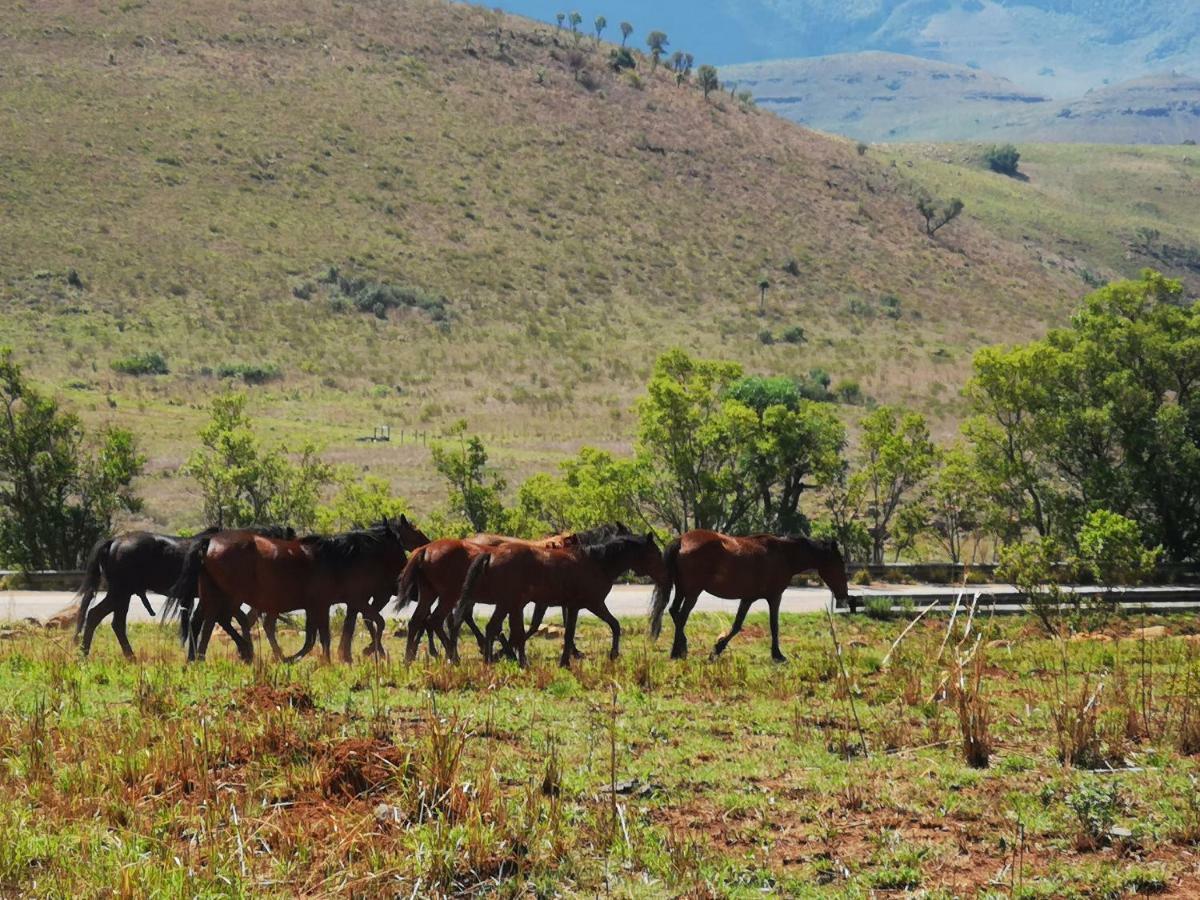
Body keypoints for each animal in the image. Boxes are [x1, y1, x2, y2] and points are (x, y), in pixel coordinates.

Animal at [73, 525, 294, 657]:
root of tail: (113, 542)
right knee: (100, 617)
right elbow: (214, 622)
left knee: (107, 620)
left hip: (122, 594)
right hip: (120, 592)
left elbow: (223, 621)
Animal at [164, 520, 410, 662]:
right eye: (399, 545)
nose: (403, 570)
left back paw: (201, 656)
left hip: (213, 594)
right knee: (218, 620)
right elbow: (325, 636)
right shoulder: (331, 603)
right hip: (229, 596)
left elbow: (313, 638)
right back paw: (236, 652)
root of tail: (210, 542)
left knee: (205, 621)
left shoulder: (322, 605)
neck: (335, 559)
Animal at [398, 520, 633, 662]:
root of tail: (425, 550)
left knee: (426, 620)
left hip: (437, 595)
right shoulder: (542, 601)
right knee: (442, 620)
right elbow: (538, 625)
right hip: (450, 596)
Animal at [453, 528, 672, 672]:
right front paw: (612, 654)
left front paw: (566, 661)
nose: (665, 576)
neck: (596, 563)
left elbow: (570, 633)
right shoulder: (593, 604)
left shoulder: (573, 606)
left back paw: (493, 660)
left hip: (507, 604)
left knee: (493, 628)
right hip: (508, 603)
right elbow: (613, 625)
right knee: (495, 628)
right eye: (655, 553)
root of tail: (491, 554)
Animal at [648, 528, 854, 662]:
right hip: (692, 593)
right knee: (681, 617)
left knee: (674, 613)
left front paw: (717, 649)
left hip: (682, 590)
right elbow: (774, 626)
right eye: (839, 564)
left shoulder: (747, 598)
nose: (844, 594)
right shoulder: (774, 597)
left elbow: (737, 625)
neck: (783, 554)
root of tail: (682, 540)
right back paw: (677, 652)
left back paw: (680, 648)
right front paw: (778, 654)